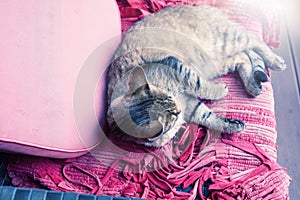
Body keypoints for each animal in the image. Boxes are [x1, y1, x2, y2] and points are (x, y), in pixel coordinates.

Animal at [105, 5, 286, 147]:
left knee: (254, 41)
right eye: (173, 114)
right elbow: (208, 116)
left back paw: (275, 61)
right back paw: (253, 85)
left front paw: (220, 91)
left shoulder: (177, 68)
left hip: (226, 40)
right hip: (217, 62)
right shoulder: (190, 105)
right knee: (243, 57)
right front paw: (231, 125)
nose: (178, 108)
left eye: (168, 97)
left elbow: (200, 85)